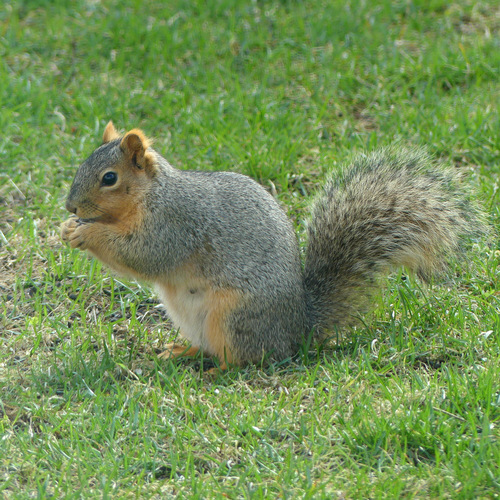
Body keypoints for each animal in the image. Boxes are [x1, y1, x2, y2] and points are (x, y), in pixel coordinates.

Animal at [60, 122, 482, 372]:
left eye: (109, 178)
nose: (71, 207)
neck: (149, 194)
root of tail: (298, 330)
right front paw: (68, 229)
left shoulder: (174, 223)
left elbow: (143, 255)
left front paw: (85, 234)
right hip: (193, 319)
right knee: (210, 347)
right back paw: (182, 353)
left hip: (235, 316)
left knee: (244, 359)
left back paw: (213, 372)